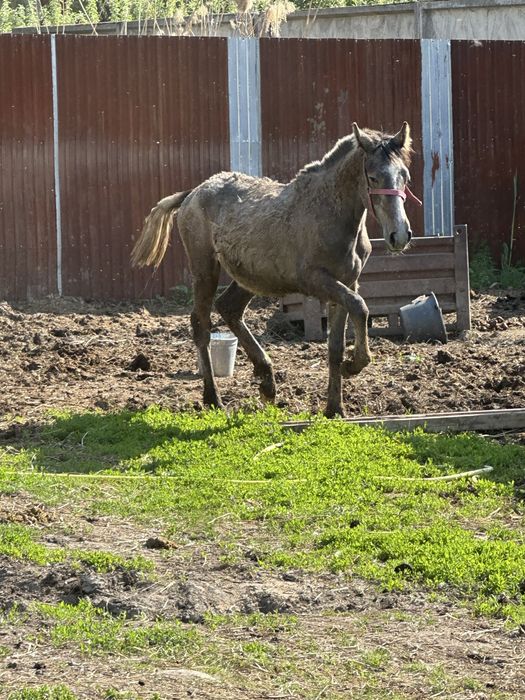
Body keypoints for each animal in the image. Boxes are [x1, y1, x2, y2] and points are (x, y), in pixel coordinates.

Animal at [131, 122, 418, 417]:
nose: (399, 235)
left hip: (249, 276)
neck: (328, 212)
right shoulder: (316, 281)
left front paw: (335, 408)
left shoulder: (346, 284)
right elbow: (361, 307)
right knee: (202, 325)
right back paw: (214, 399)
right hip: (204, 269)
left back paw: (267, 381)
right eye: (373, 177)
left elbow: (336, 345)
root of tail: (193, 192)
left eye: (405, 177)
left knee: (229, 308)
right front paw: (354, 365)